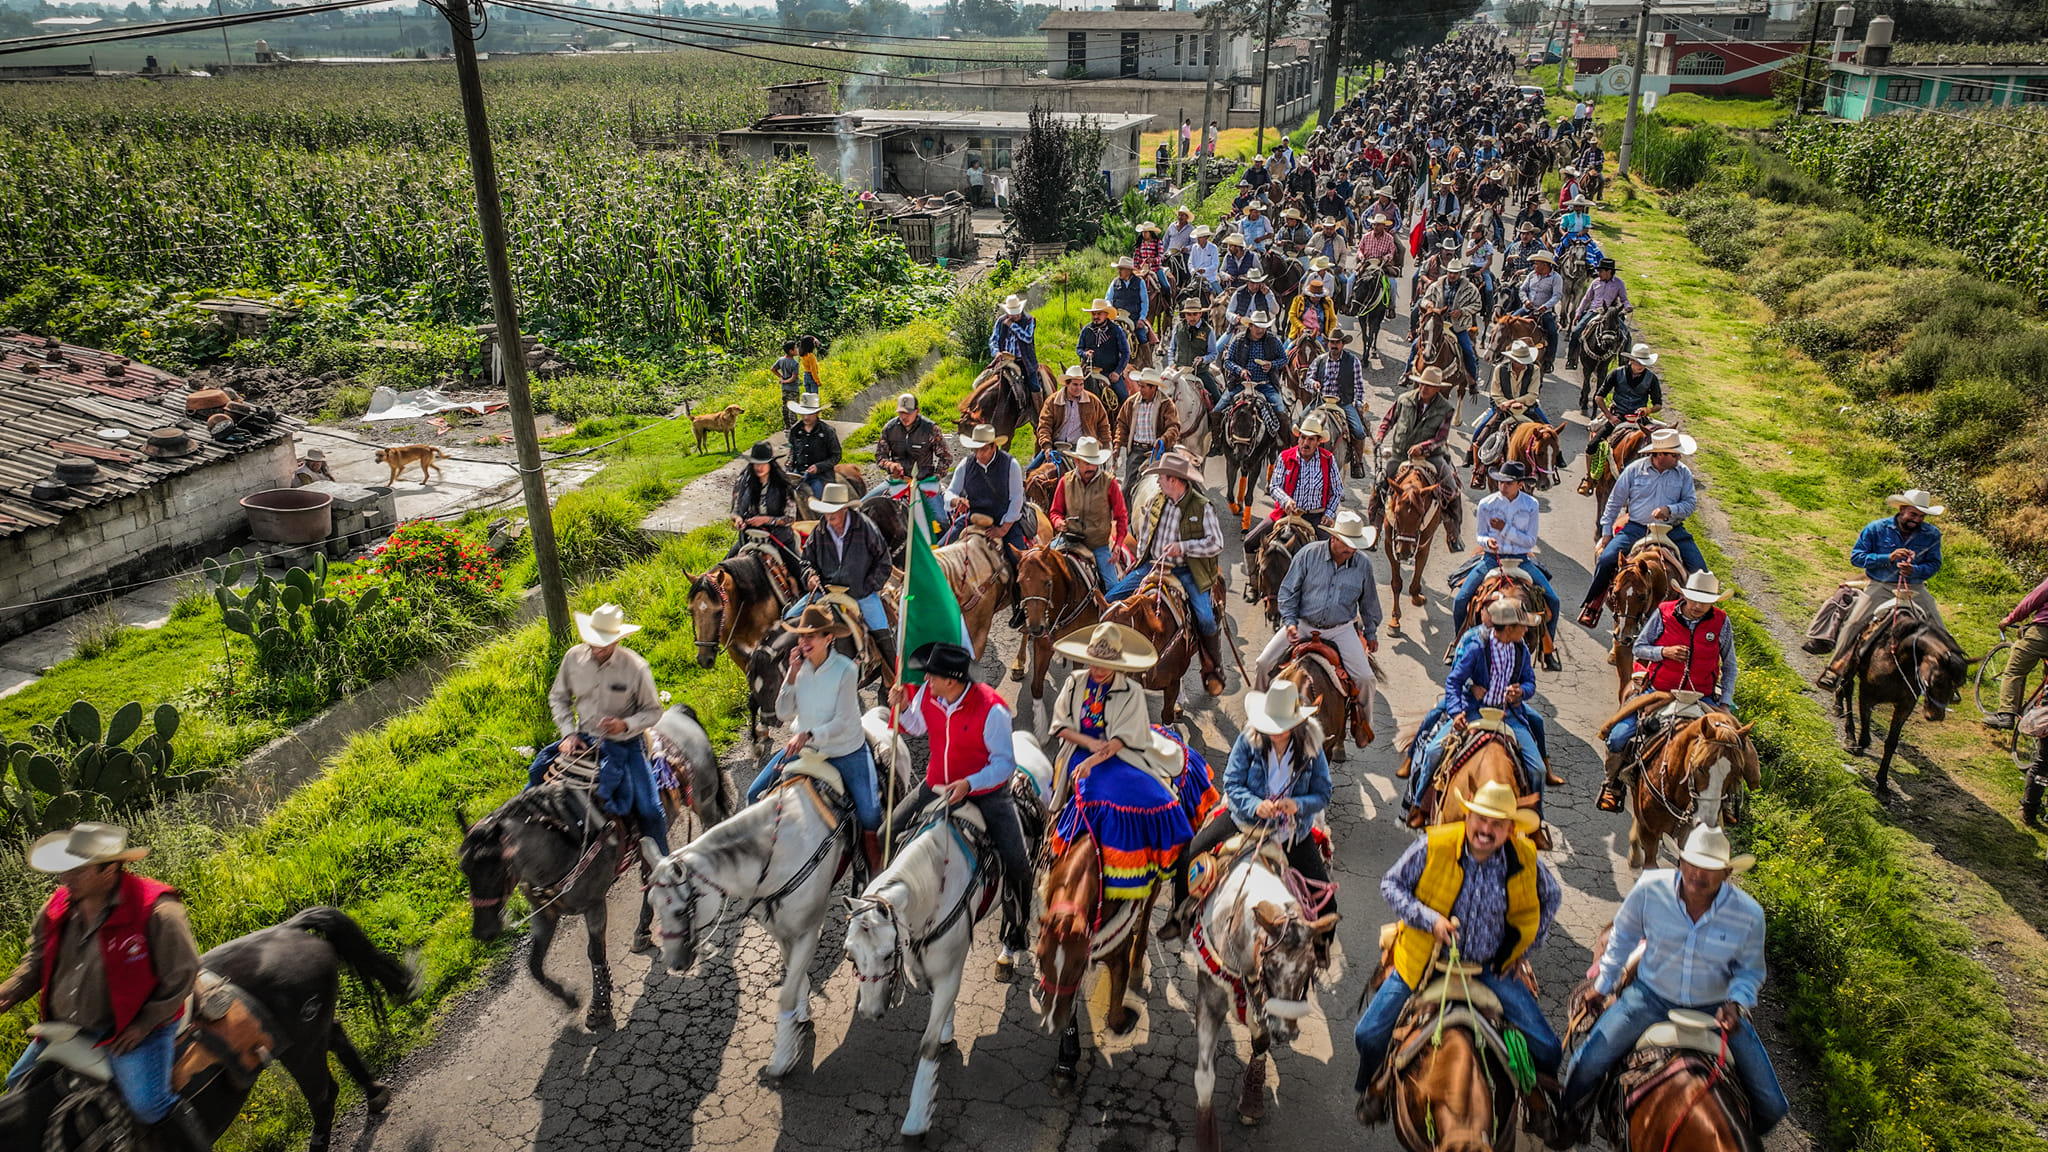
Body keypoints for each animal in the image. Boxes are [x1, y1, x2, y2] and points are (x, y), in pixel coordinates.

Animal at [0, 906, 415, 1147]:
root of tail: (289, 927)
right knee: (338, 1038)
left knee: (324, 1095)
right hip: (308, 1035)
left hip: (301, 1049)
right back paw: (375, 1094)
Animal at [1040, 832, 1155, 1082]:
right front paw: (1066, 1060)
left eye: (1079, 965)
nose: (1052, 1021)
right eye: (1040, 959)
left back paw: (1138, 964)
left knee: (1150, 905)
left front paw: (1128, 1019)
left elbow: (1114, 1017)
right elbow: (1070, 1001)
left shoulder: (1119, 952)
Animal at [1187, 832, 1343, 1147]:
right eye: (1270, 967)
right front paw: (1207, 1135)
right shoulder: (1210, 997)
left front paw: (1251, 1103)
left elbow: (1260, 1042)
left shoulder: (1261, 1006)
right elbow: (1205, 1077)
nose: (1287, 1033)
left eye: (1310, 968)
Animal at [1384, 459, 1449, 627]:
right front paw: (1395, 618)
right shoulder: (1390, 544)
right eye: (1396, 513)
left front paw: (1415, 596)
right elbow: (1396, 583)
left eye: (1420, 515)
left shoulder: (1424, 544)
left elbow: (1420, 567)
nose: (1405, 552)